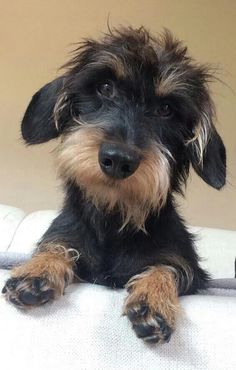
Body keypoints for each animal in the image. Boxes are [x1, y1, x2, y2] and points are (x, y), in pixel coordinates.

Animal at [2, 26, 227, 344]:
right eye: (105, 88)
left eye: (167, 109)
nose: (118, 159)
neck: (114, 214)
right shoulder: (66, 236)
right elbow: (57, 246)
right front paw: (37, 270)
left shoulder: (188, 267)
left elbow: (166, 268)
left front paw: (153, 298)